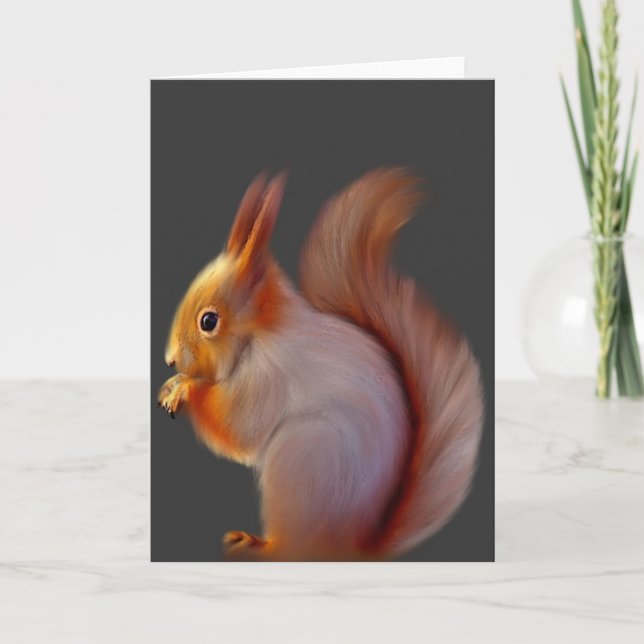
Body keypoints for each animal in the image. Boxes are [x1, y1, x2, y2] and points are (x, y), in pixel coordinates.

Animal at [157, 168, 484, 561]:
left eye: (209, 321)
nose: (170, 359)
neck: (260, 333)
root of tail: (354, 547)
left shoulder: (268, 377)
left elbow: (239, 430)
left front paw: (186, 389)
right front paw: (172, 384)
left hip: (301, 458)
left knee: (290, 548)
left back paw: (255, 546)